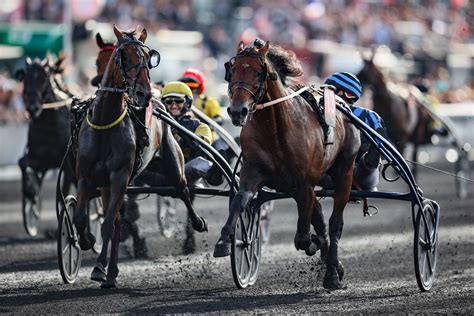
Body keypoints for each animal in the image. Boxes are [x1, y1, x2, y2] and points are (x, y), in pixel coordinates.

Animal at [75, 25, 206, 288]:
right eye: (123, 56)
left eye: (148, 58)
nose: (142, 93)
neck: (105, 122)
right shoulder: (87, 177)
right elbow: (82, 220)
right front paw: (88, 242)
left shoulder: (120, 177)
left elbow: (108, 225)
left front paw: (99, 267)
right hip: (106, 185)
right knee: (117, 220)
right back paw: (110, 271)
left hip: (172, 162)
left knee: (183, 190)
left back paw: (197, 223)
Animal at [215, 40, 360, 290]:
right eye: (231, 71)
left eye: (258, 72)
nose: (237, 111)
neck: (275, 131)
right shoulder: (253, 173)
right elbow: (239, 201)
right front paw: (224, 240)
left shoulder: (304, 184)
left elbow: (302, 237)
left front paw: (312, 243)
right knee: (319, 216)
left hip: (345, 170)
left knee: (334, 222)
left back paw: (332, 273)